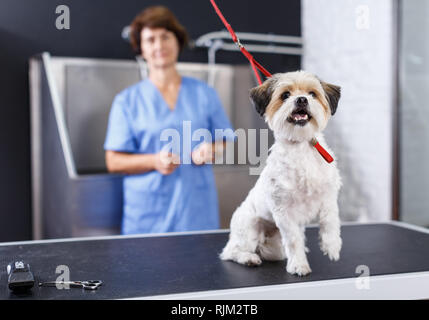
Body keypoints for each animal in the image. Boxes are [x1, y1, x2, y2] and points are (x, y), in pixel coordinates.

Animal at [221, 70, 342, 276]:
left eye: (312, 94)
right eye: (285, 95)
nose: (301, 99)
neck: (300, 146)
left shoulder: (328, 196)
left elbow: (330, 220)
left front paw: (332, 246)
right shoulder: (284, 210)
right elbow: (293, 240)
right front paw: (299, 264)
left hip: (274, 245)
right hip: (250, 229)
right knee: (230, 252)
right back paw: (248, 258)